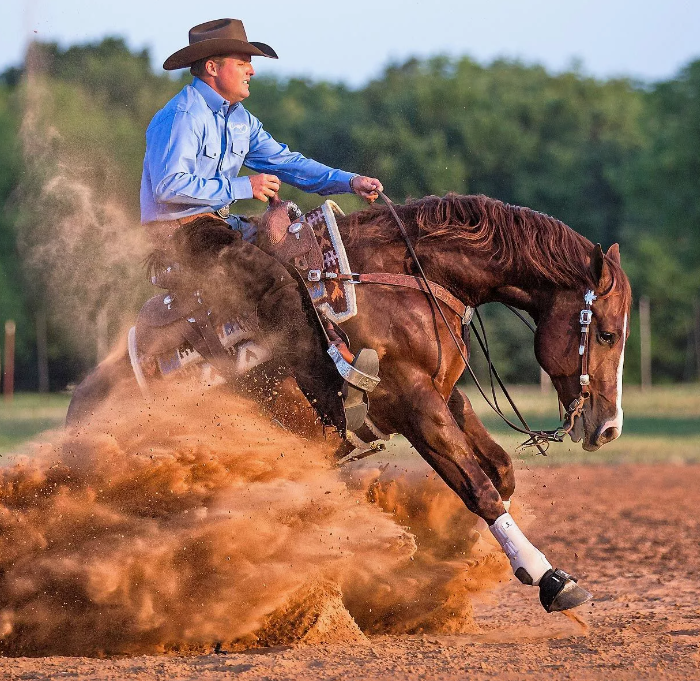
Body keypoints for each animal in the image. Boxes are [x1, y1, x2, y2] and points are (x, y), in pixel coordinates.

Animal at [68, 194, 632, 612]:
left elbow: (500, 471)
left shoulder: (442, 394)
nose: (608, 428)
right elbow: (478, 489)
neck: (405, 279)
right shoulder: (412, 403)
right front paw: (551, 579)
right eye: (606, 333)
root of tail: (79, 407)